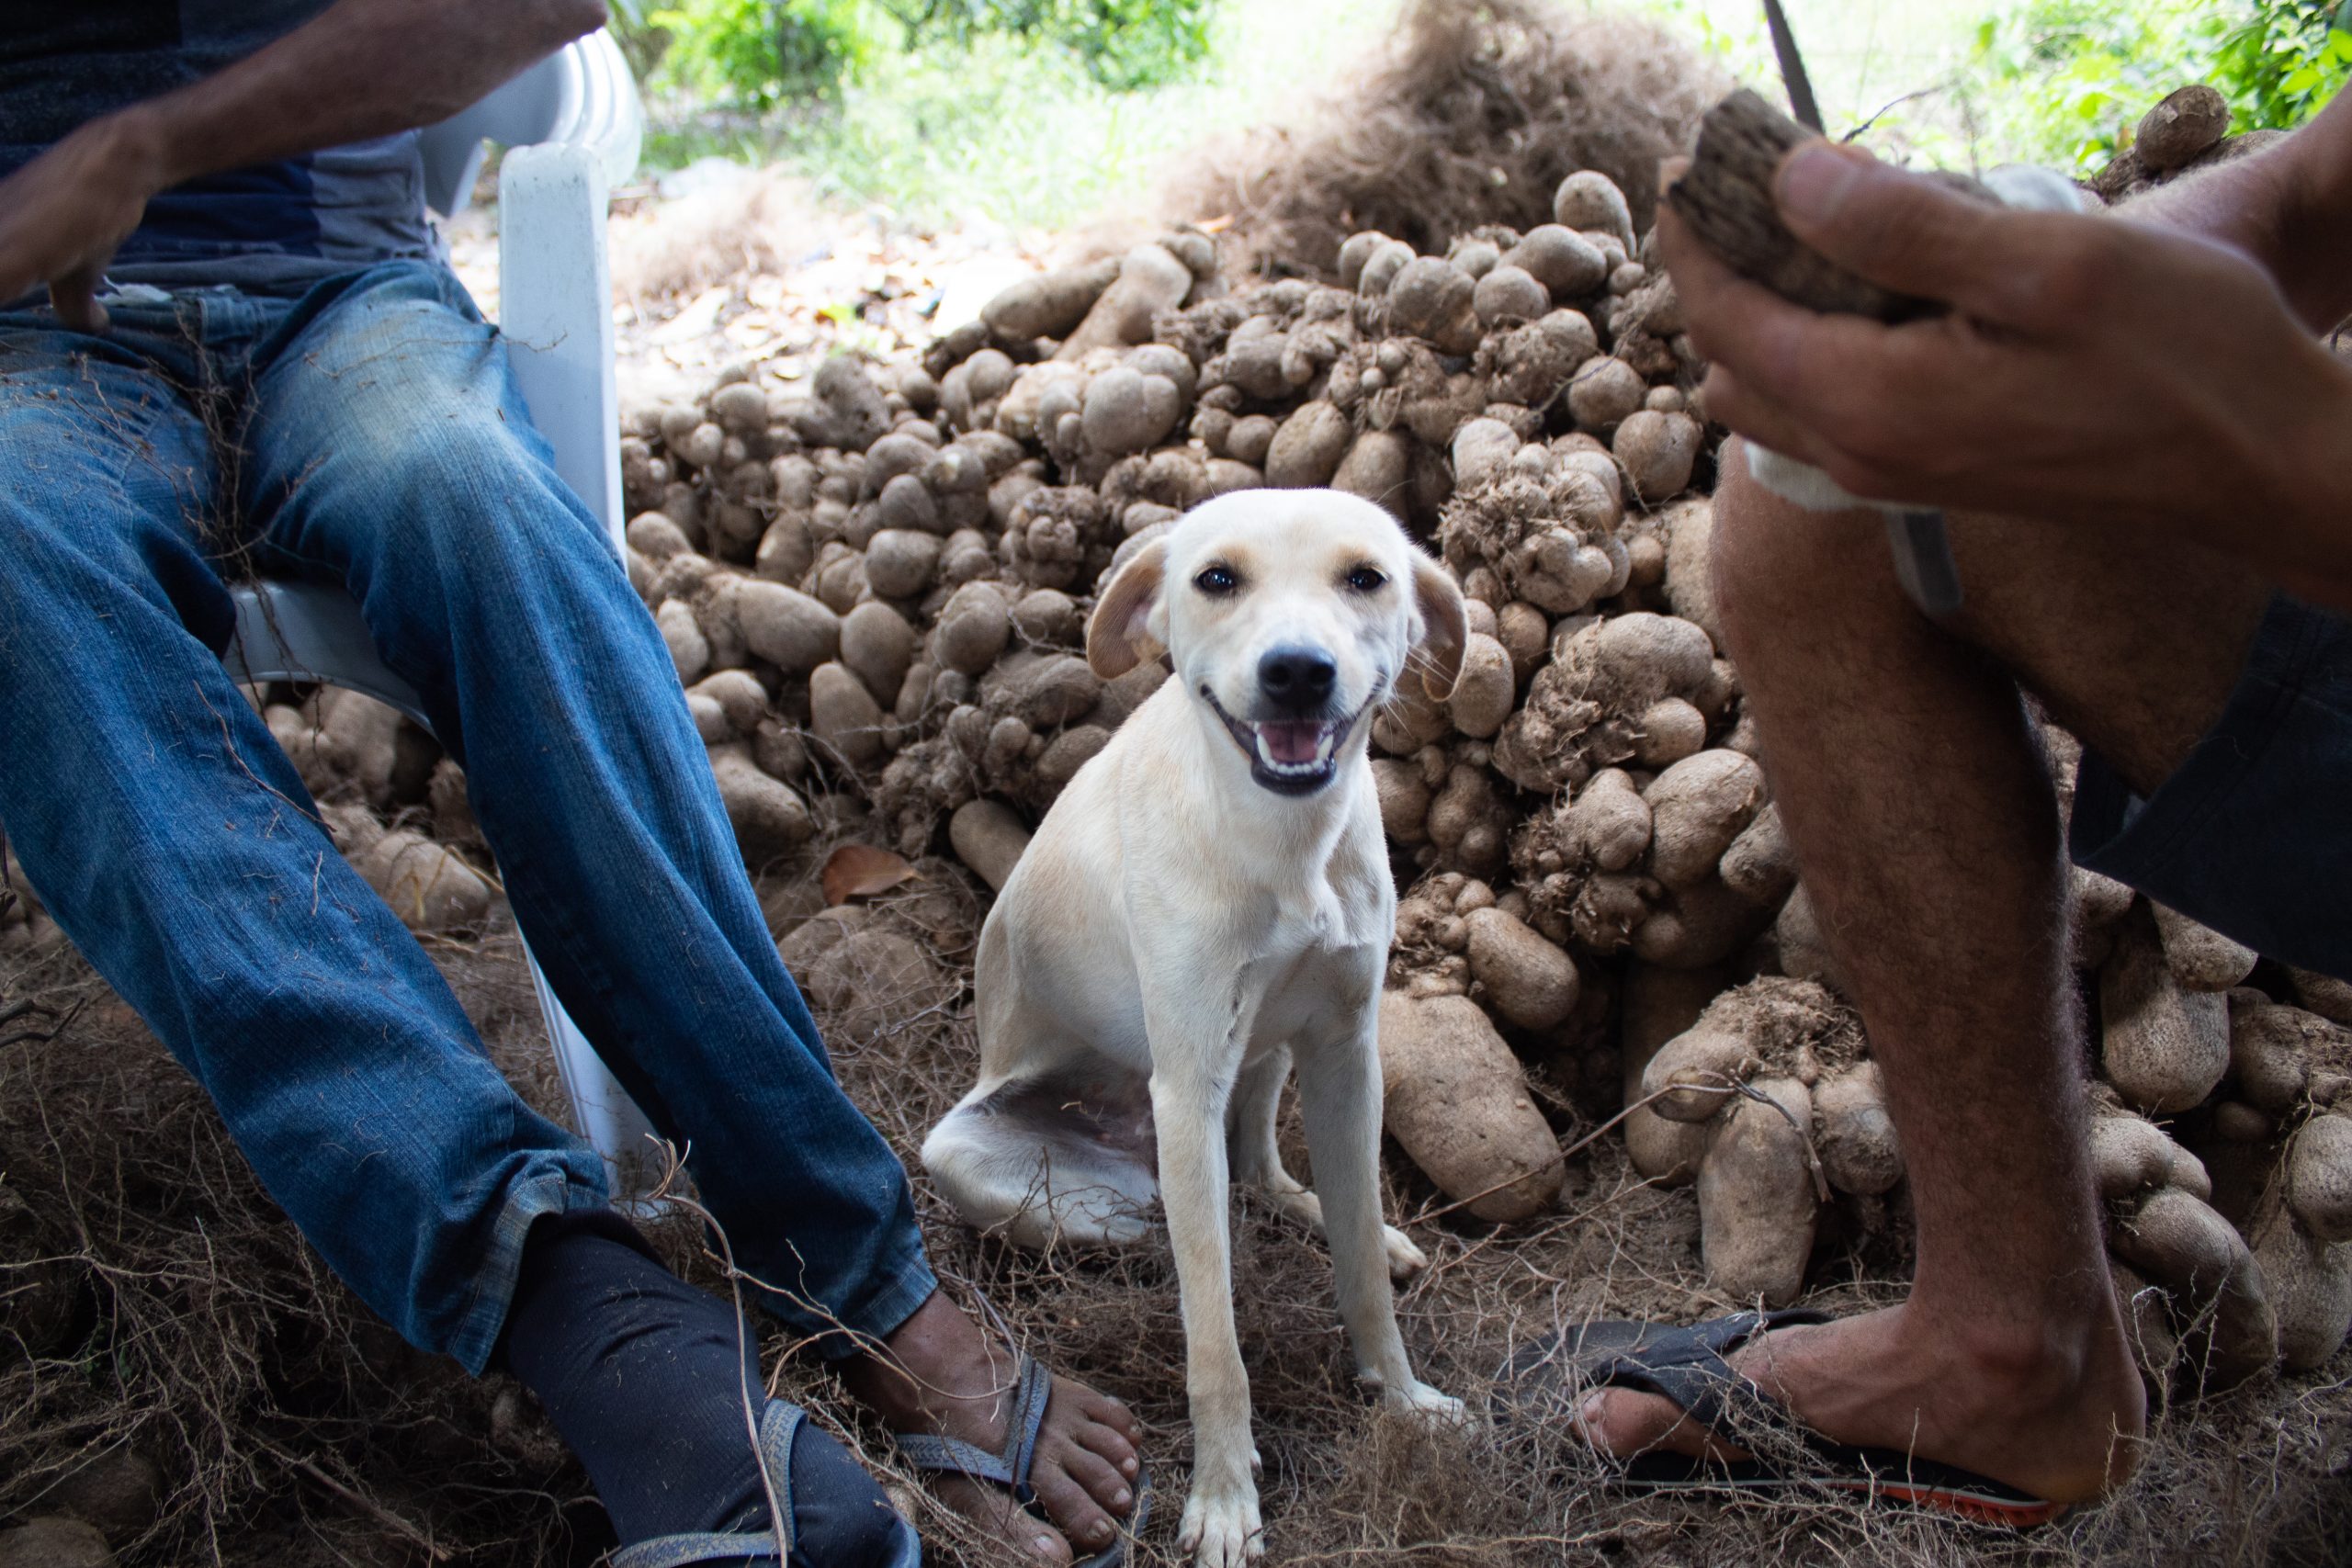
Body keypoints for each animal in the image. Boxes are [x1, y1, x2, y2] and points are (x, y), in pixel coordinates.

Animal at [922, 486, 1458, 1561]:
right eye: (1217, 578)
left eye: (1366, 577)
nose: (1297, 671)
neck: (1284, 844)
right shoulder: (1190, 1082)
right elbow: (1214, 1337)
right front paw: (1221, 1498)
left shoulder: (1347, 1053)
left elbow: (1361, 1279)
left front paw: (1401, 1392)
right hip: (993, 1157)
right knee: (1185, 1223)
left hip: (1272, 1049)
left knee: (1262, 1172)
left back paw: (1340, 1220)